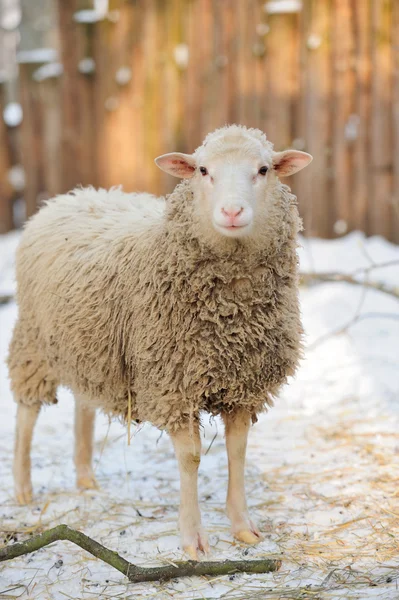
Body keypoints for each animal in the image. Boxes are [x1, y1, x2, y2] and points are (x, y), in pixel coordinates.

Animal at [7, 124, 312, 560]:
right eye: (203, 170)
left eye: (264, 169)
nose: (232, 212)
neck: (230, 317)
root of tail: (73, 195)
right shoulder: (173, 385)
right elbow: (191, 457)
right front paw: (193, 539)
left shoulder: (244, 385)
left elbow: (237, 450)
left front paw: (243, 527)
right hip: (34, 344)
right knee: (26, 414)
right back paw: (23, 488)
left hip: (89, 345)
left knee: (84, 405)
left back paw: (85, 478)